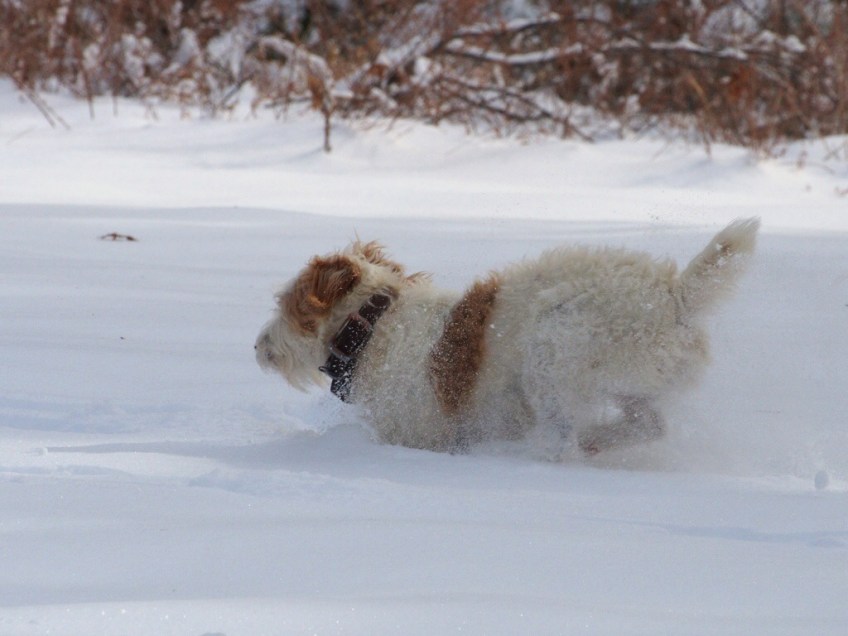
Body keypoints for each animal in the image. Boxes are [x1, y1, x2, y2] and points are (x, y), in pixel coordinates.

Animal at [256, 219, 759, 456]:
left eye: (285, 304)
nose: (257, 347)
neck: (377, 326)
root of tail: (676, 295)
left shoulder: (417, 431)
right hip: (633, 381)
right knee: (649, 425)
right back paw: (597, 441)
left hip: (552, 355)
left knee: (562, 440)